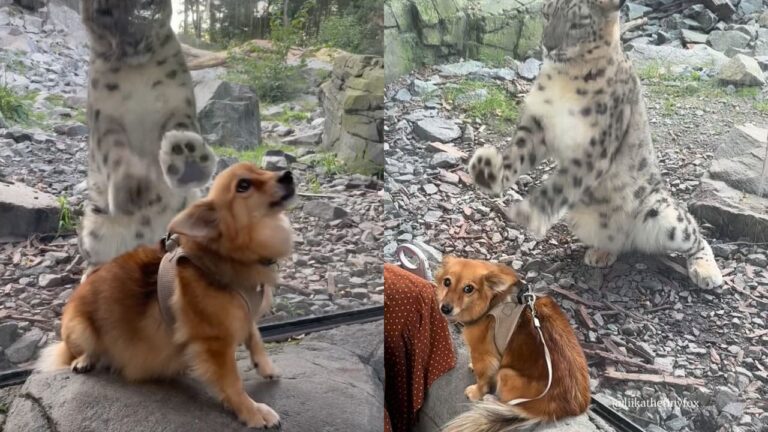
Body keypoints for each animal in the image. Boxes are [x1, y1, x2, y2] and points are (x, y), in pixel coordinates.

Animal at [78, 0, 217, 274]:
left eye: (147, 4)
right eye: (104, 12)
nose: (133, 40)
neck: (137, 72)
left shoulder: (179, 105)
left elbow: (181, 128)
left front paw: (187, 160)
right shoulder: (105, 120)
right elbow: (115, 152)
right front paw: (133, 187)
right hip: (94, 226)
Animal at [468, 0, 723, 290]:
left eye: (578, 23)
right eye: (546, 14)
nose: (548, 45)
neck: (566, 77)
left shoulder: (596, 146)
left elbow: (561, 184)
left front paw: (528, 212)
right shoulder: (538, 124)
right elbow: (518, 153)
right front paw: (488, 171)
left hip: (664, 214)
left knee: (695, 233)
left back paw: (707, 272)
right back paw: (601, 252)